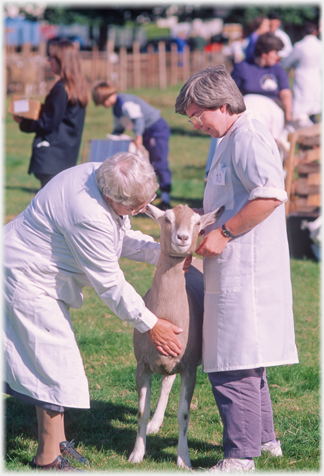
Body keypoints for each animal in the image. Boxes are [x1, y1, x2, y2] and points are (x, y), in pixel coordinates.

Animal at [128, 203, 224, 466]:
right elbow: (141, 412)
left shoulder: (189, 367)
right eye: (167, 219)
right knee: (167, 383)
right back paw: (155, 424)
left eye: (197, 223)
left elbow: (184, 414)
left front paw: (184, 459)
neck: (169, 315)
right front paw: (136, 454)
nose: (182, 238)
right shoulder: (142, 364)